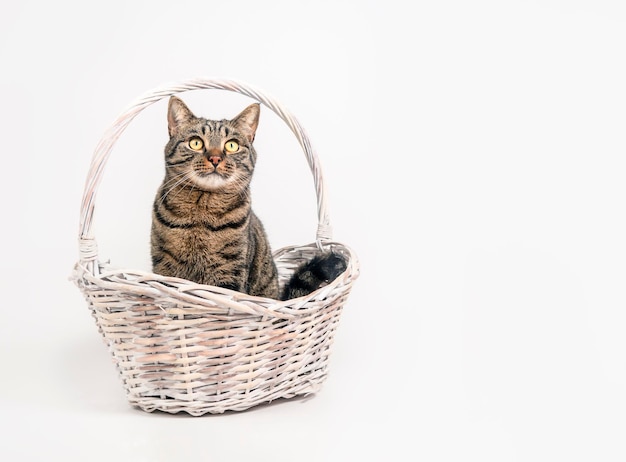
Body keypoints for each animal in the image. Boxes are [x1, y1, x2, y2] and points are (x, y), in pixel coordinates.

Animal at [151, 96, 346, 300]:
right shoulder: (164, 267)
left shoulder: (229, 271)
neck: (203, 211)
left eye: (231, 145)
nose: (215, 158)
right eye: (195, 143)